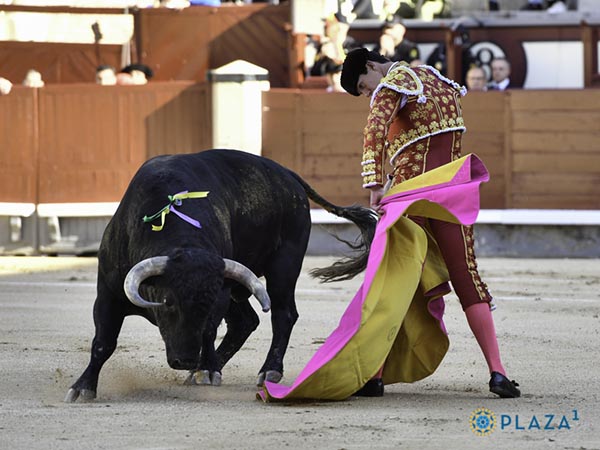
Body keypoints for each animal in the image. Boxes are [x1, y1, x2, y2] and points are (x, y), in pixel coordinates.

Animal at [64, 149, 376, 402]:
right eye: (167, 301)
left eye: (208, 303)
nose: (185, 360)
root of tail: (288, 175)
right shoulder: (108, 293)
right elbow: (103, 342)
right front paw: (83, 387)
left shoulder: (221, 295)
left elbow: (209, 330)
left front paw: (207, 369)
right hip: (242, 286)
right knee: (245, 322)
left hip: (284, 265)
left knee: (283, 314)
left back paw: (266, 370)